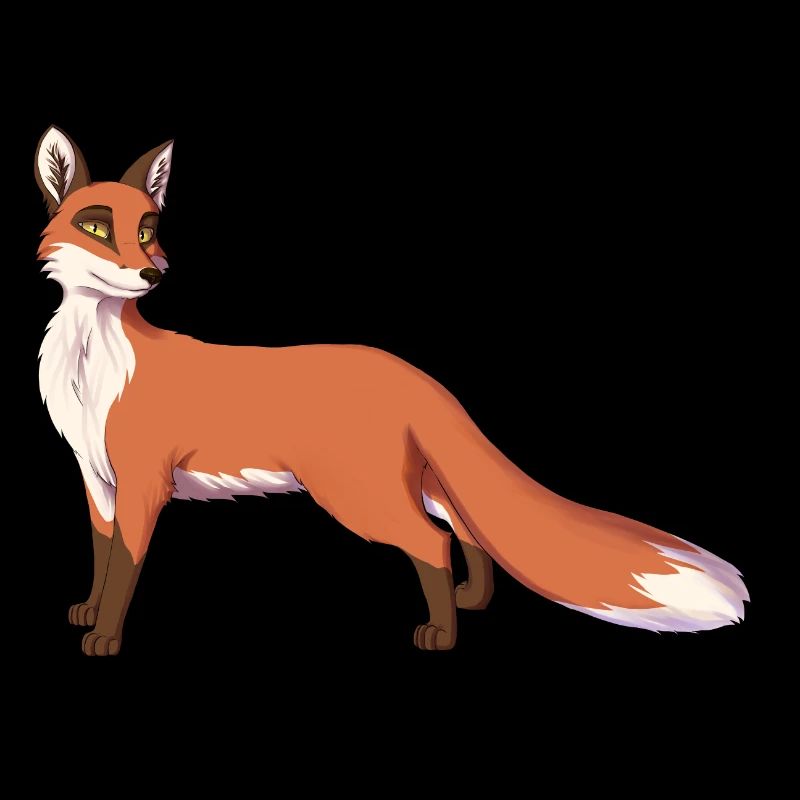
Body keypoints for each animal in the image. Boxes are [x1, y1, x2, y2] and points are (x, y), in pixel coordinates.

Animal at [35, 125, 748, 656]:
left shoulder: (143, 483)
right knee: (463, 528)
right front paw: (87, 611)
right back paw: (472, 601)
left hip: (359, 495)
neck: (89, 373)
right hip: (417, 480)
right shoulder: (97, 482)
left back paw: (441, 634)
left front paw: (105, 637)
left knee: (433, 543)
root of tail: (415, 372)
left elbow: (125, 570)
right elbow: (101, 558)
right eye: (96, 228)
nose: (153, 274)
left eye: (148, 230)